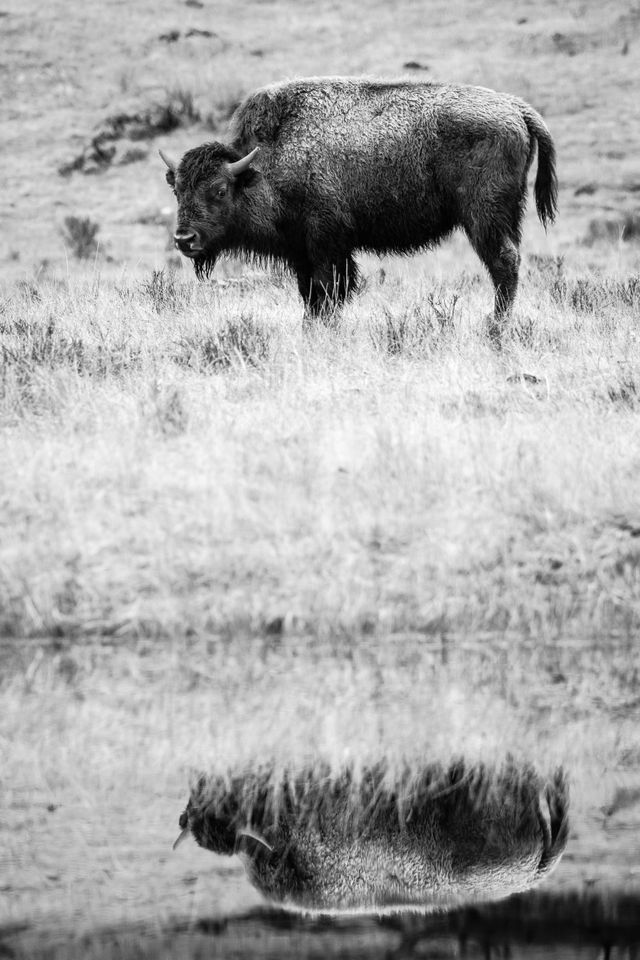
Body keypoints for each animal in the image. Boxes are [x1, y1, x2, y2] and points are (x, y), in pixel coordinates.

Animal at [160, 76, 556, 330]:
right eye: (177, 190)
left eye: (219, 190)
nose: (184, 240)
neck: (262, 165)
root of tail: (516, 108)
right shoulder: (302, 251)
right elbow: (310, 295)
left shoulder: (327, 245)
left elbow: (328, 292)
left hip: (484, 218)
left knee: (504, 263)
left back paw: (496, 325)